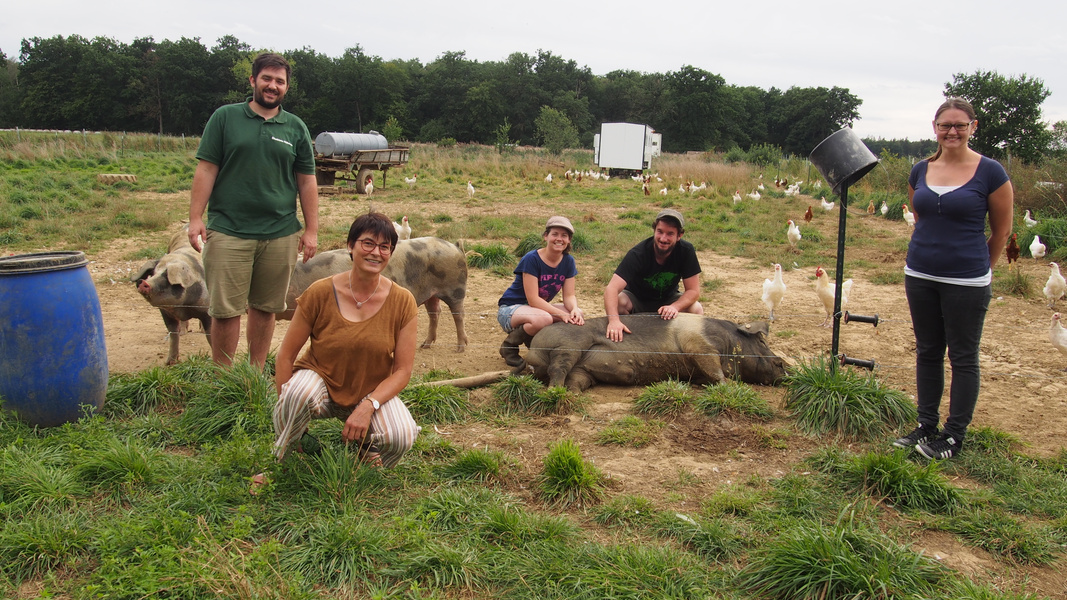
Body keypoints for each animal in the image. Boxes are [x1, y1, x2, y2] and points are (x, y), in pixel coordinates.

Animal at [131, 227, 212, 365]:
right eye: (153, 273)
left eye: (166, 277)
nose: (143, 282)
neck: (182, 306)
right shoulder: (165, 312)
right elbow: (173, 334)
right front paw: (169, 363)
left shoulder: (207, 311)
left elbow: (210, 334)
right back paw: (183, 333)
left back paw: (199, 331)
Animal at [281, 237, 468, 351]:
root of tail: (455, 247)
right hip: (431, 293)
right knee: (435, 312)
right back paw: (424, 345)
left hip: (455, 288)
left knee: (458, 314)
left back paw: (460, 348)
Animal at [520, 314, 786, 391]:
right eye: (762, 341)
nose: (784, 365)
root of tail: (533, 349)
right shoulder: (698, 343)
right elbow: (713, 367)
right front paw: (728, 386)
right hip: (570, 344)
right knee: (557, 368)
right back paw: (555, 392)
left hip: (583, 371)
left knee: (574, 380)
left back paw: (572, 394)